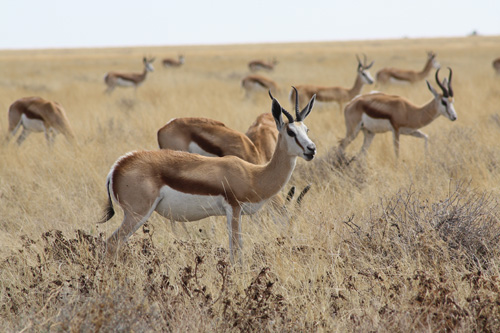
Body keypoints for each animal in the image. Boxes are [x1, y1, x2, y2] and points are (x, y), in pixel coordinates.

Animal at [98, 87, 316, 262]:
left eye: (306, 129)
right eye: (290, 132)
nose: (311, 149)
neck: (254, 175)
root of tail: (118, 166)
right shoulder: (234, 210)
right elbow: (236, 250)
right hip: (137, 214)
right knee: (111, 244)